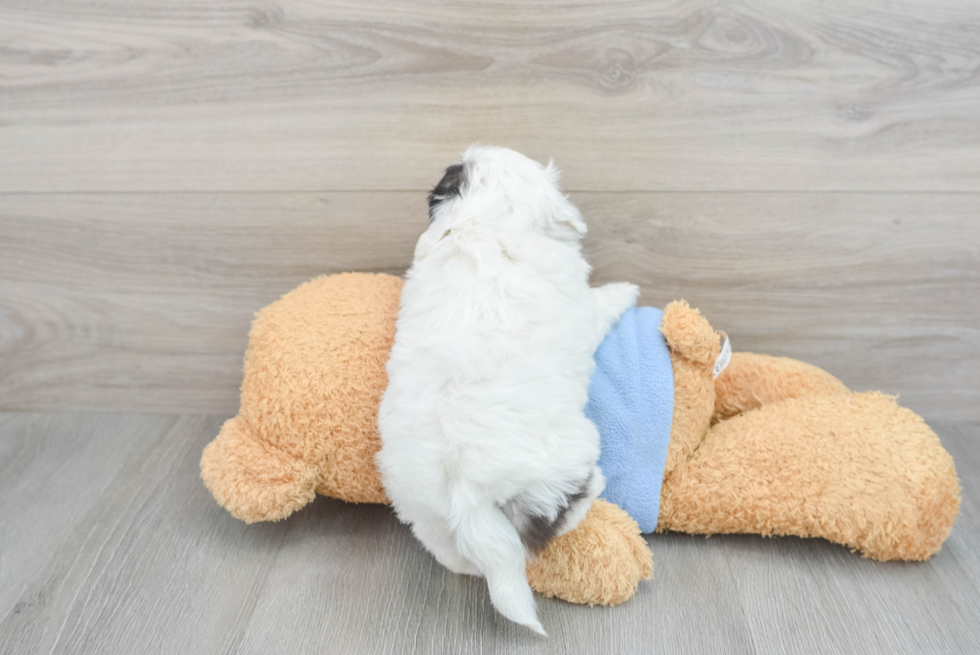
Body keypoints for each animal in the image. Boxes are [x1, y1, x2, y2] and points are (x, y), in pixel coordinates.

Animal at [374, 145, 636, 636]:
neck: (487, 222)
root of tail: (466, 494)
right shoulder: (583, 309)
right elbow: (601, 304)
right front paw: (626, 290)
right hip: (567, 457)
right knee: (558, 515)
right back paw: (595, 489)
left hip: (426, 515)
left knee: (461, 558)